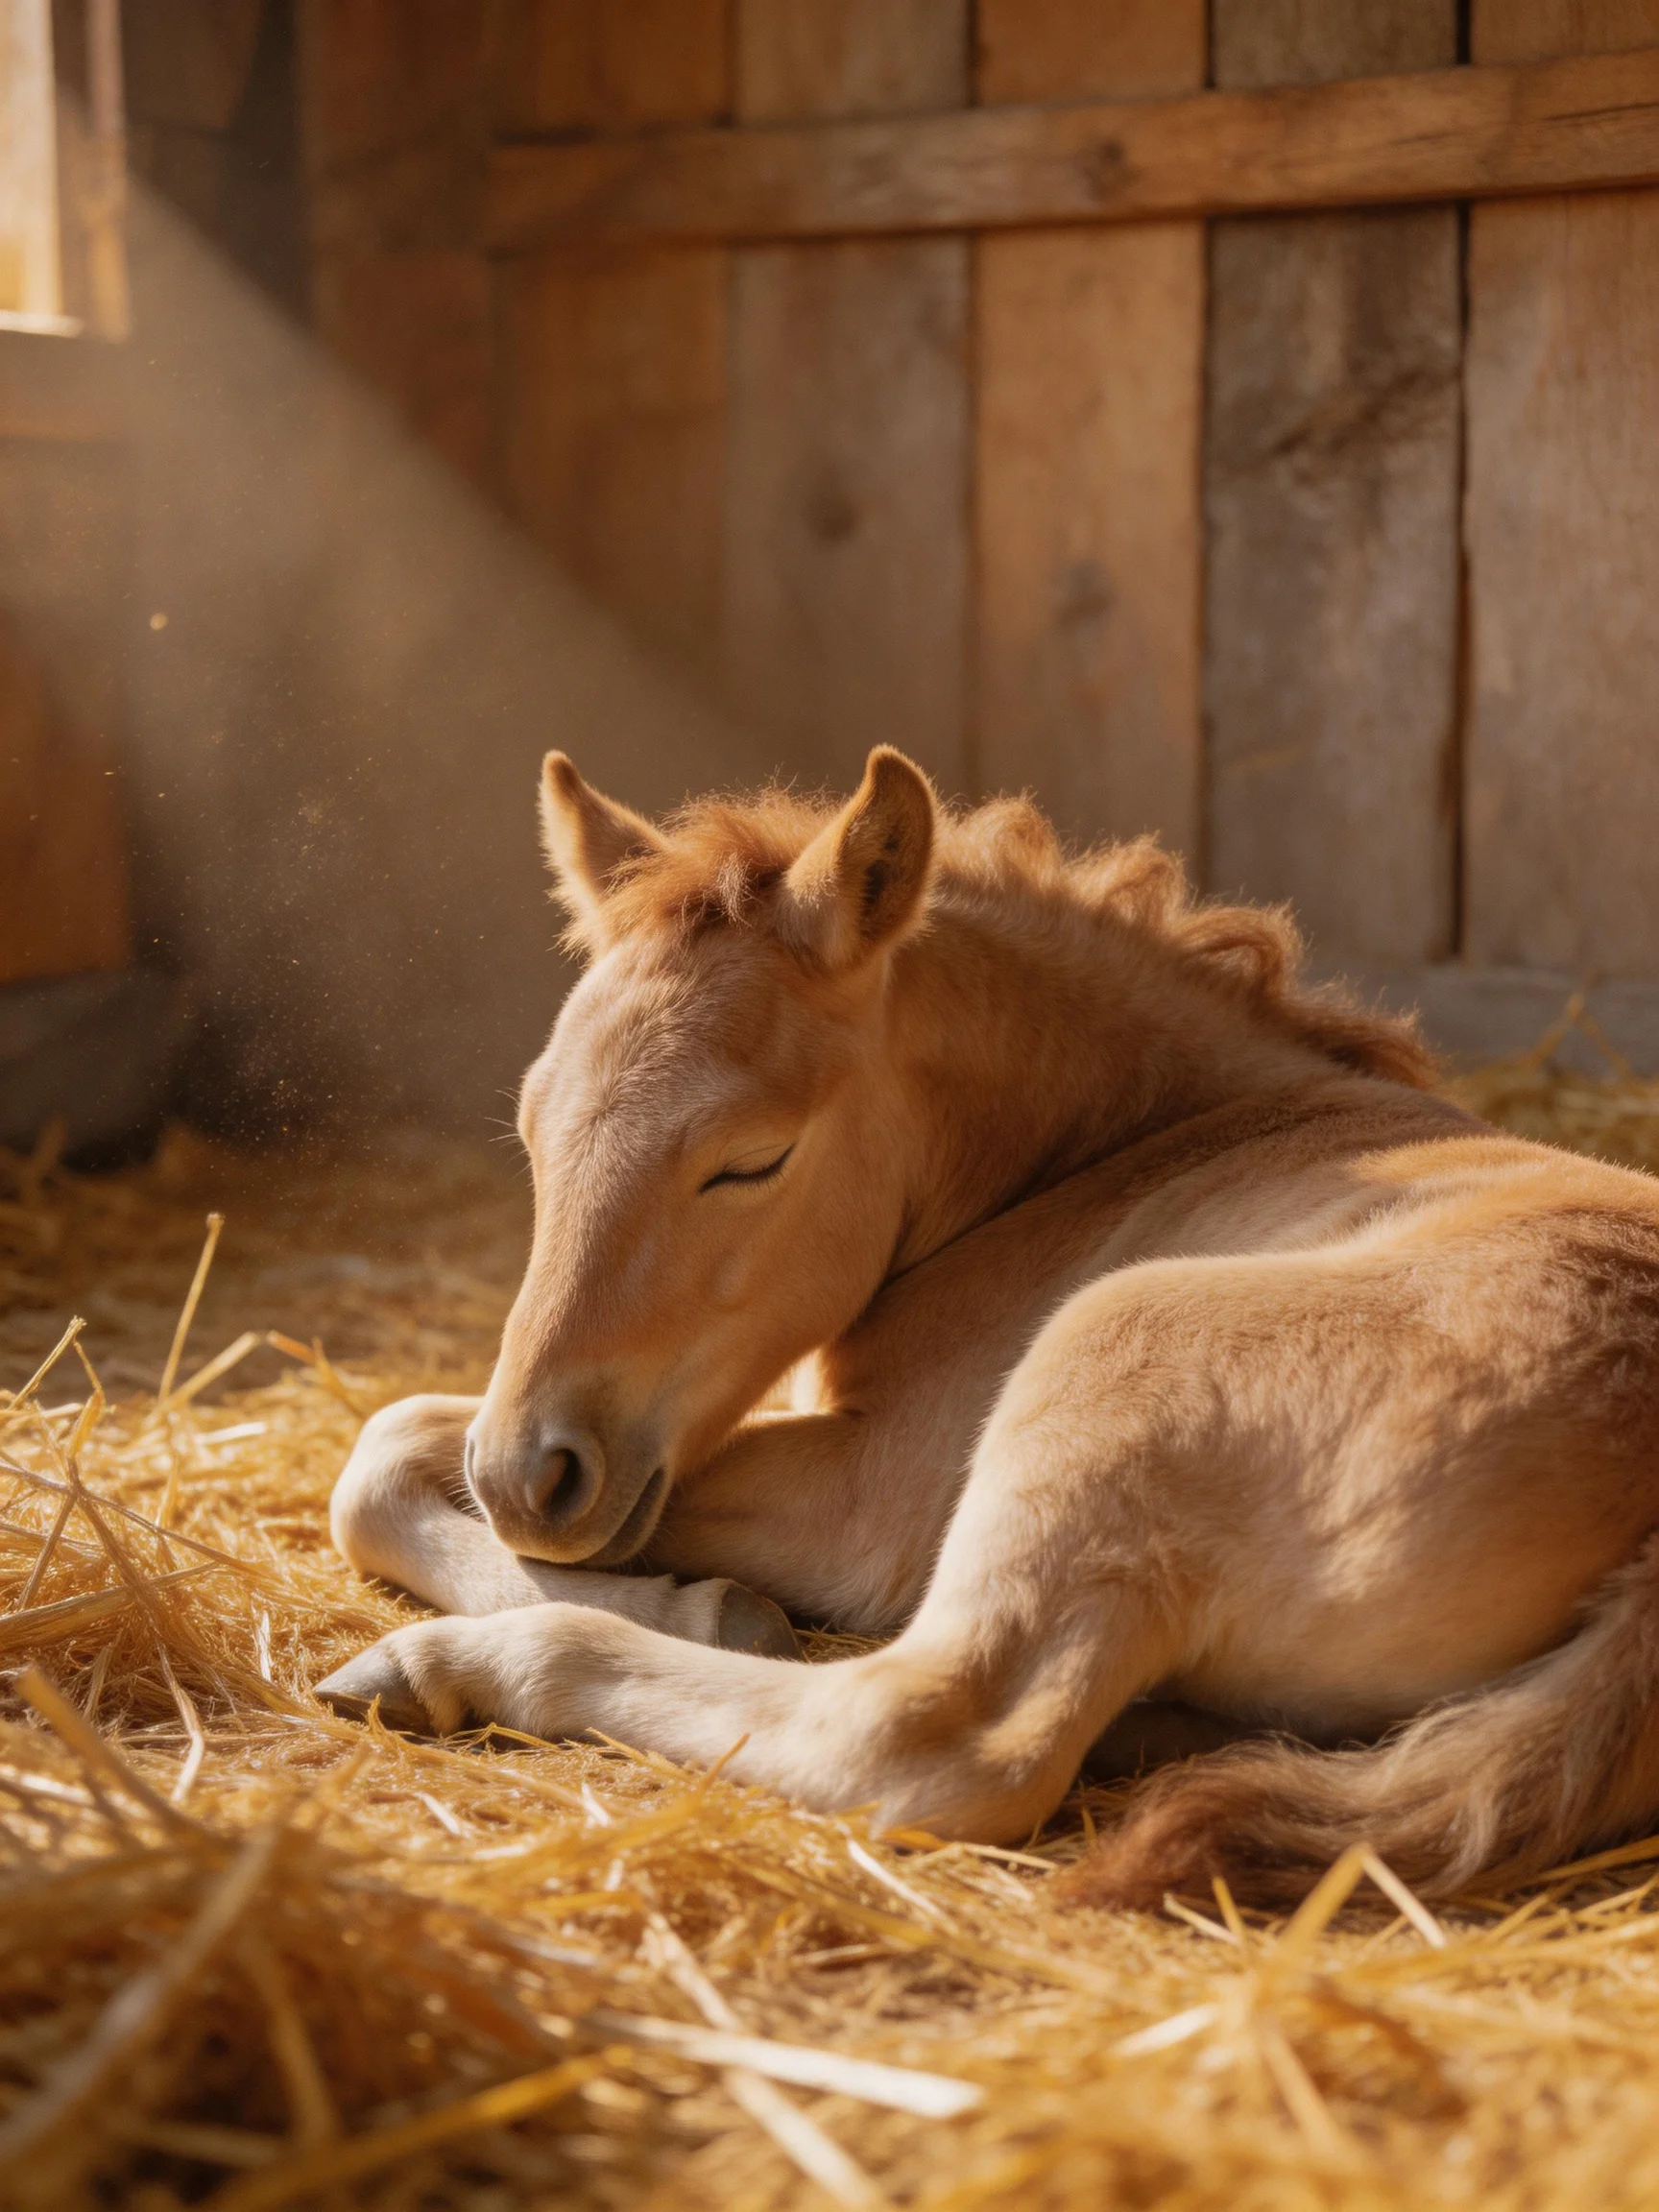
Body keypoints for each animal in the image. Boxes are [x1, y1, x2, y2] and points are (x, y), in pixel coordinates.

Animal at [316, 746, 1659, 1904]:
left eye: (752, 1161)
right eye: (533, 1126)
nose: (526, 1477)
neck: (1109, 1152)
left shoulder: (872, 1498)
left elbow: (382, 1456)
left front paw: (704, 1605)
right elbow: (391, 1446)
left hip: (1116, 1350)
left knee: (932, 1735)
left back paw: (457, 1665)